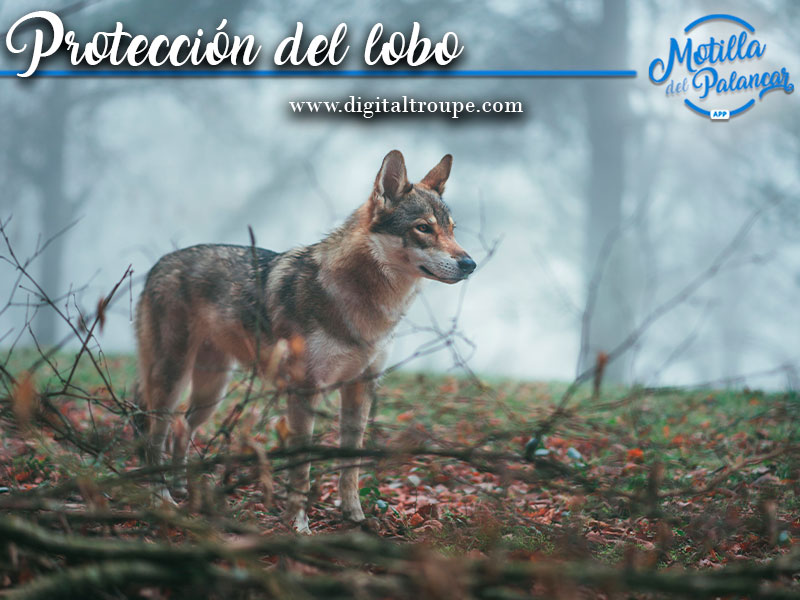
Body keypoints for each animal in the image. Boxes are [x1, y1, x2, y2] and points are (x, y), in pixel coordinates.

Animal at [134, 150, 475, 532]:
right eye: (424, 228)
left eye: (452, 229)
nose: (470, 264)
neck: (362, 303)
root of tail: (159, 263)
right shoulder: (303, 391)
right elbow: (303, 469)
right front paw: (298, 524)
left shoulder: (360, 388)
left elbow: (350, 466)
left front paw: (355, 517)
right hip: (173, 379)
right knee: (154, 437)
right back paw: (161, 499)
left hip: (212, 391)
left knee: (181, 427)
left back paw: (180, 487)